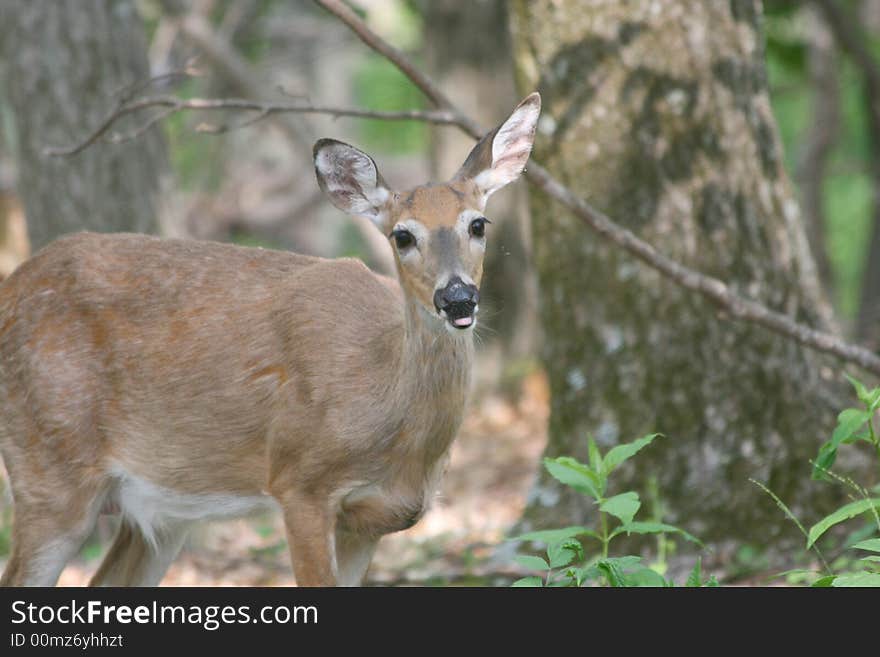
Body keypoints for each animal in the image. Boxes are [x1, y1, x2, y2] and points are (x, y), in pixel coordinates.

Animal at [0, 92, 540, 584]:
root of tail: (10, 287)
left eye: (478, 224)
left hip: (160, 512)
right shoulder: (299, 483)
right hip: (49, 468)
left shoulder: (373, 519)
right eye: (402, 236)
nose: (457, 298)